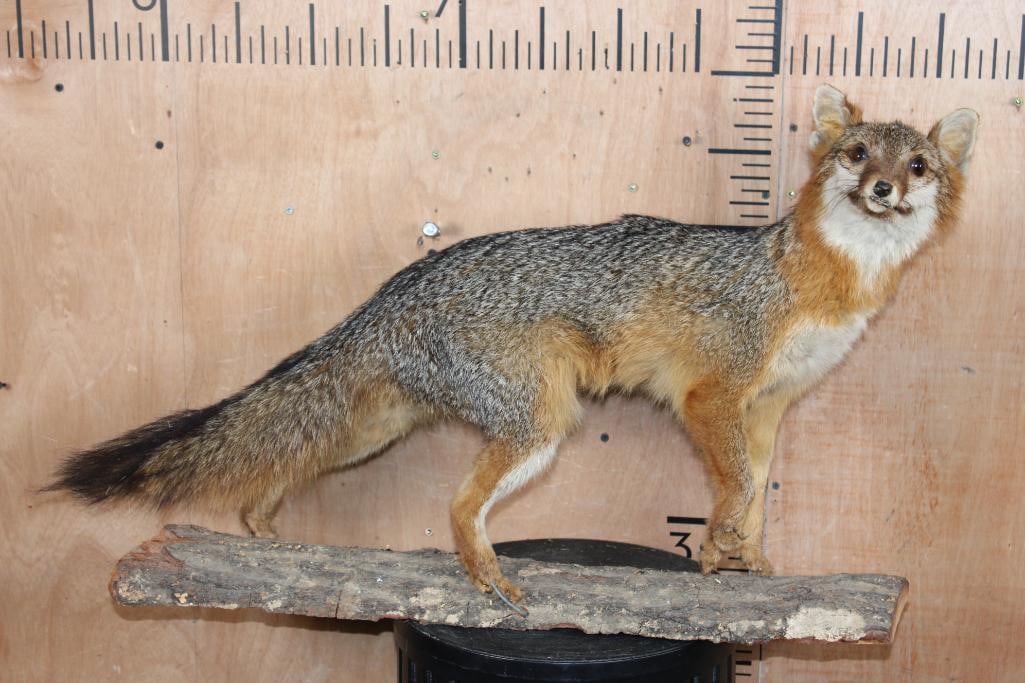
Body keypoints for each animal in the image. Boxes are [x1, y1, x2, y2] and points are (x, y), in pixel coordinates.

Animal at [46, 85, 978, 606]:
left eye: (917, 166)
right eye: (855, 153)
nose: (882, 188)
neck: (818, 279)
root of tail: (395, 286)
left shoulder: (767, 407)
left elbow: (752, 492)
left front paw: (745, 559)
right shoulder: (711, 394)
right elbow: (737, 486)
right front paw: (717, 552)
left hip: (374, 432)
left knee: (270, 468)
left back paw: (267, 538)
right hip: (537, 424)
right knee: (457, 506)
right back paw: (484, 570)